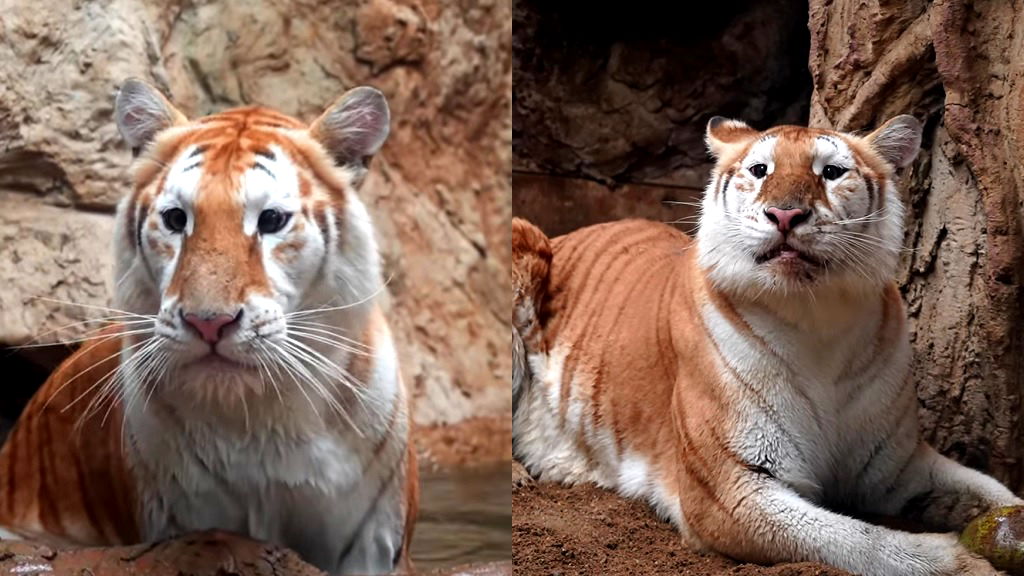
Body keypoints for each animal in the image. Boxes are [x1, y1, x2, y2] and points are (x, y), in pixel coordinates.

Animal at [512, 114, 1024, 569]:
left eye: (831, 172)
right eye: (760, 170)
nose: (785, 214)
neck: (819, 318)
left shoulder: (895, 466)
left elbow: (991, 489)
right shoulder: (730, 489)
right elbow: (856, 539)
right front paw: (961, 561)